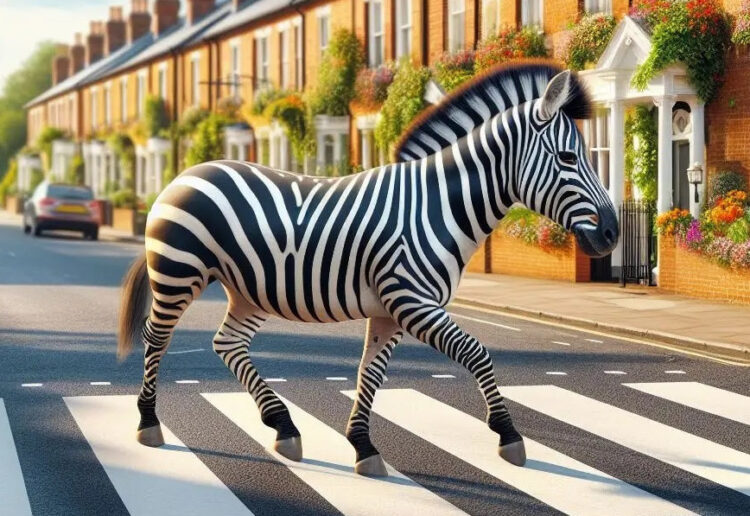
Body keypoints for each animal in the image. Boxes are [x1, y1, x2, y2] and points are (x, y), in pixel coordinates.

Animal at [118, 62, 618, 477]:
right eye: (569, 158)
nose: (612, 234)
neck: (438, 207)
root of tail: (184, 175)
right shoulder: (413, 301)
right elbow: (477, 353)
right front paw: (510, 436)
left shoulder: (390, 311)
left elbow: (369, 373)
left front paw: (362, 446)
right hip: (179, 273)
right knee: (156, 338)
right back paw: (149, 424)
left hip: (248, 289)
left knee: (228, 344)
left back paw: (283, 427)